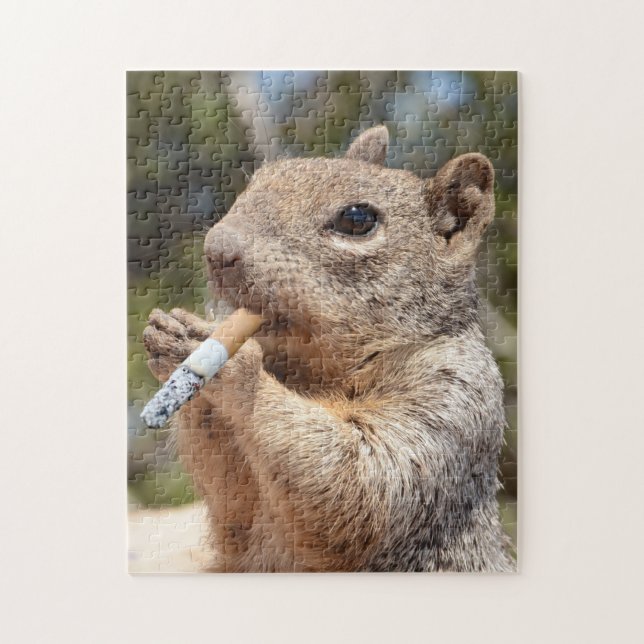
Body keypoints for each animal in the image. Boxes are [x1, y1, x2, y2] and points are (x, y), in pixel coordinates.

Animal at [143, 125, 514, 572]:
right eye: (259, 180)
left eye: (357, 218)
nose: (216, 249)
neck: (313, 371)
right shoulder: (242, 515)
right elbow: (233, 501)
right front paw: (171, 331)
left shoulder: (452, 402)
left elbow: (362, 485)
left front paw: (233, 365)